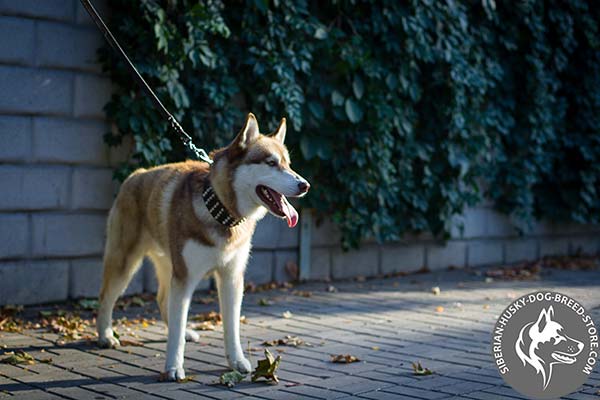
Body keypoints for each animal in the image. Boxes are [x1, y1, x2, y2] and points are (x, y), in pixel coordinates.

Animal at [95, 114, 310, 380]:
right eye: (271, 163)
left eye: (289, 164)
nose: (305, 185)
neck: (220, 211)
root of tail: (136, 174)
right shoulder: (185, 277)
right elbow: (176, 331)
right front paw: (174, 367)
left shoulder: (231, 278)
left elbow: (231, 327)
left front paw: (236, 361)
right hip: (125, 263)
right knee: (106, 296)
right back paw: (105, 335)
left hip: (169, 264)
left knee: (163, 299)